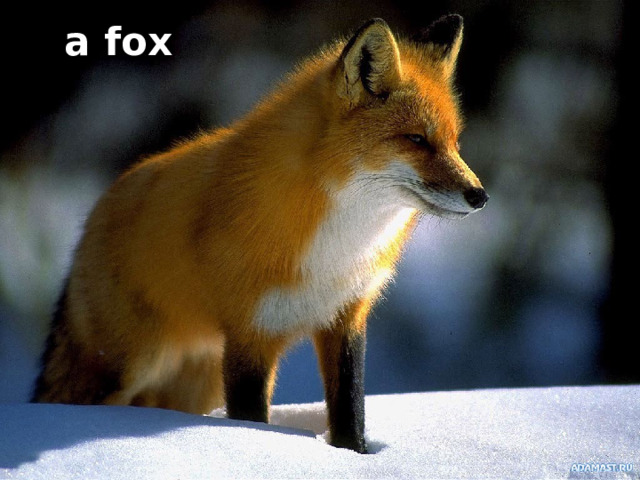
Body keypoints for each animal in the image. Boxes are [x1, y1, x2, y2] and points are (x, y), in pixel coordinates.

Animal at [32, 15, 487, 453]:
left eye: (454, 142)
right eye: (416, 139)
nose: (480, 196)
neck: (339, 242)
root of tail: (93, 214)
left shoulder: (346, 318)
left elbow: (350, 415)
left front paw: (355, 457)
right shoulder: (251, 334)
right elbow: (252, 421)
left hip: (197, 382)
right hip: (128, 366)